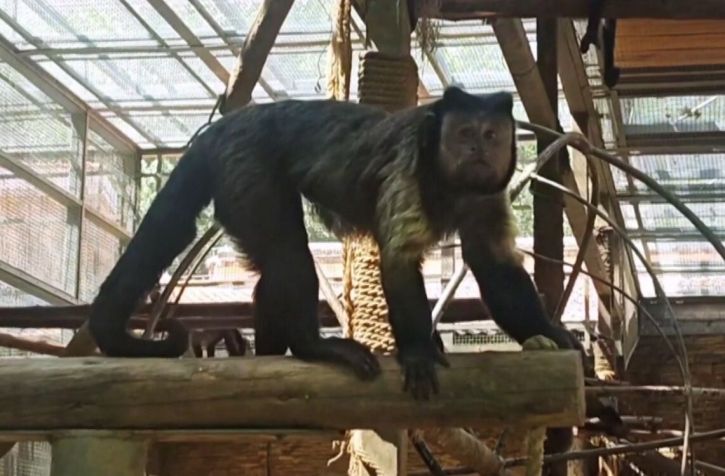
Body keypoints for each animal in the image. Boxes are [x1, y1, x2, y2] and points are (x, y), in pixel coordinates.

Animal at [88, 86, 582, 401]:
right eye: (463, 134)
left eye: (490, 135)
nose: (477, 149)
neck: (452, 187)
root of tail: (222, 129)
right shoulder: (408, 170)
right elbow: (398, 263)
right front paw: (419, 351)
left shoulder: (488, 195)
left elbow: (495, 265)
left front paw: (551, 333)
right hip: (245, 166)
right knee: (289, 253)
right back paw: (312, 346)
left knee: (271, 272)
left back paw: (272, 353)